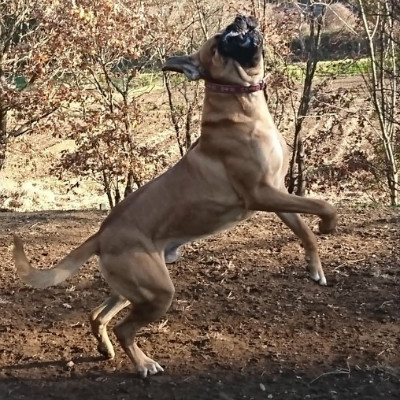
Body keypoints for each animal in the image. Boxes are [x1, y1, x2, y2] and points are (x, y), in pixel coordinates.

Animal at [12, 15, 336, 378]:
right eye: (220, 41)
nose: (239, 20)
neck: (243, 107)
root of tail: (101, 234)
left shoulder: (278, 192)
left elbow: (305, 229)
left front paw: (315, 266)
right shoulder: (262, 194)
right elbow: (324, 205)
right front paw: (328, 227)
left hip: (134, 288)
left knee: (98, 315)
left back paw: (106, 348)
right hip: (157, 291)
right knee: (125, 328)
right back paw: (143, 363)